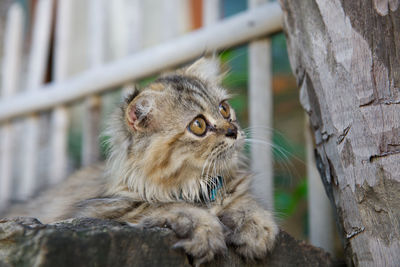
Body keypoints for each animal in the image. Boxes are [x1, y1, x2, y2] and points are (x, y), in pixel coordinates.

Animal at [5, 57, 278, 266]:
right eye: (198, 125)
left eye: (224, 109)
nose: (233, 131)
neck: (196, 184)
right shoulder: (101, 210)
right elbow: (167, 206)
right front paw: (206, 231)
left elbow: (247, 204)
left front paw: (257, 229)